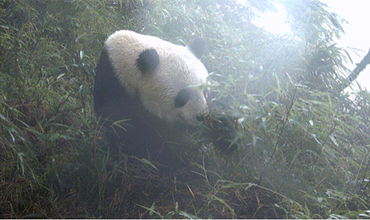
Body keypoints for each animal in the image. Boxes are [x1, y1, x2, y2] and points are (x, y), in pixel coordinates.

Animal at [93, 30, 237, 162]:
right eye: (182, 97)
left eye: (204, 89)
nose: (202, 116)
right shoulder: (115, 86)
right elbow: (128, 132)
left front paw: (226, 135)